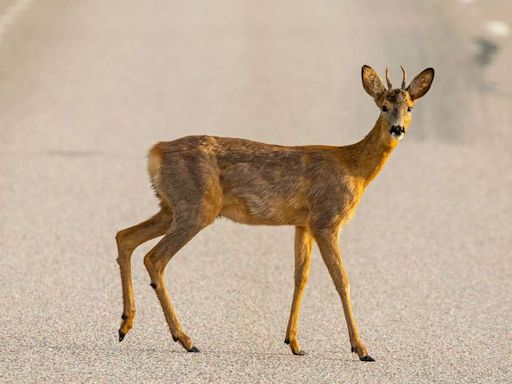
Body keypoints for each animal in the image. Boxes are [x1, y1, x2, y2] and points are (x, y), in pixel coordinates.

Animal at [117, 64, 436, 362]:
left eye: (409, 107)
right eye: (383, 107)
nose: (397, 129)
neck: (353, 167)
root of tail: (155, 152)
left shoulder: (303, 224)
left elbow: (300, 277)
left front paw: (294, 343)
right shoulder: (326, 220)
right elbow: (341, 280)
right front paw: (361, 349)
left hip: (171, 207)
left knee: (125, 236)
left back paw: (125, 325)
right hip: (195, 207)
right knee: (154, 257)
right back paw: (185, 339)